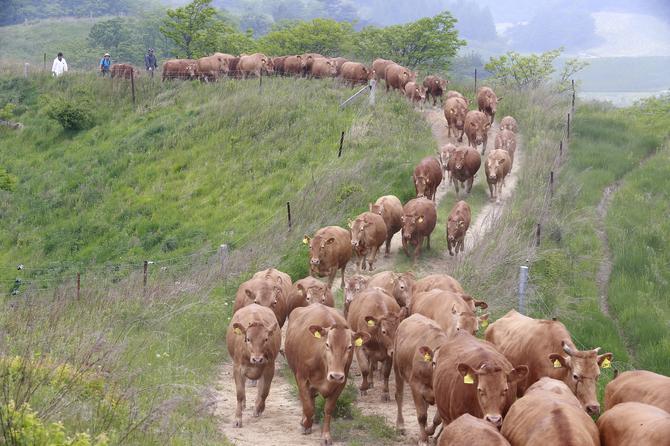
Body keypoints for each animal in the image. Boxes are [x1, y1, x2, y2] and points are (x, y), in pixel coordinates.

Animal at [286, 304, 372, 444]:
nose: (335, 376)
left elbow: (328, 409)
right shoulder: (302, 378)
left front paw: (326, 436)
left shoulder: (341, 384)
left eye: (349, 347)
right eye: (327, 344)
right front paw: (306, 424)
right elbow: (308, 406)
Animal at [394, 314, 452, 446]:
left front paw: (428, 431)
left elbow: (437, 419)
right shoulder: (416, 386)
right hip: (397, 368)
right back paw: (400, 425)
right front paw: (423, 439)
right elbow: (421, 415)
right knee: (399, 396)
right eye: (434, 362)